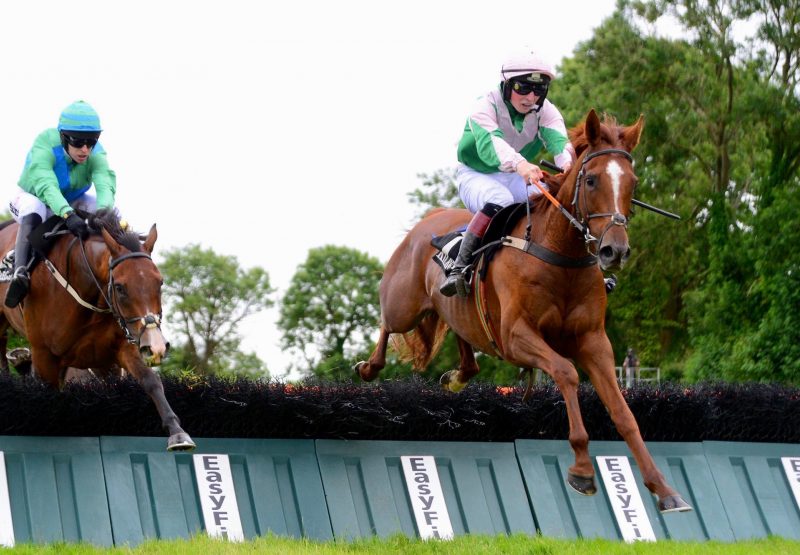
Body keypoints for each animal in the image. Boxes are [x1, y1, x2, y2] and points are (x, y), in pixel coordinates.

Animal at [0, 208, 195, 452]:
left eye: (160, 283)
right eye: (120, 287)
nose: (156, 346)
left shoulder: (119, 349)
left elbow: (150, 380)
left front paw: (177, 432)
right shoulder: (44, 354)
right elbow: (48, 393)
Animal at [354, 111, 692, 516]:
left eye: (633, 182)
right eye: (591, 180)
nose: (615, 251)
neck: (560, 256)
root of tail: (427, 221)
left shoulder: (594, 341)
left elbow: (623, 413)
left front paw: (663, 488)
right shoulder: (516, 337)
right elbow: (566, 373)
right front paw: (582, 469)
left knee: (463, 341)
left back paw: (458, 376)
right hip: (403, 304)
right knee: (387, 324)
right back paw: (369, 367)